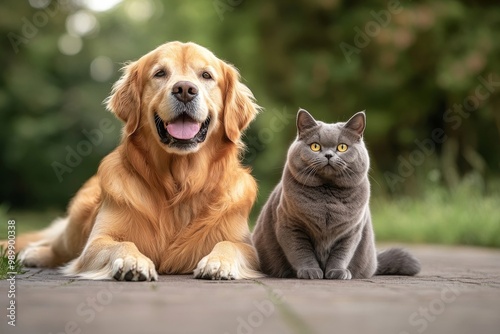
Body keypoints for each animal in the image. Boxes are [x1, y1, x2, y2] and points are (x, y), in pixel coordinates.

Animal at [5, 41, 264, 282]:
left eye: (206, 75)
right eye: (160, 73)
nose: (184, 89)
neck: (179, 185)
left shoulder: (248, 247)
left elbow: (229, 244)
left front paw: (218, 262)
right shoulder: (97, 240)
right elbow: (122, 243)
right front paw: (134, 261)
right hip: (76, 225)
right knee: (57, 247)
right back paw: (33, 254)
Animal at [252, 109, 420, 280]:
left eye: (342, 147)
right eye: (315, 146)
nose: (328, 155)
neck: (327, 195)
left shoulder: (351, 231)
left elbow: (341, 254)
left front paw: (338, 272)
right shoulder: (290, 225)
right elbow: (301, 252)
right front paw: (310, 271)